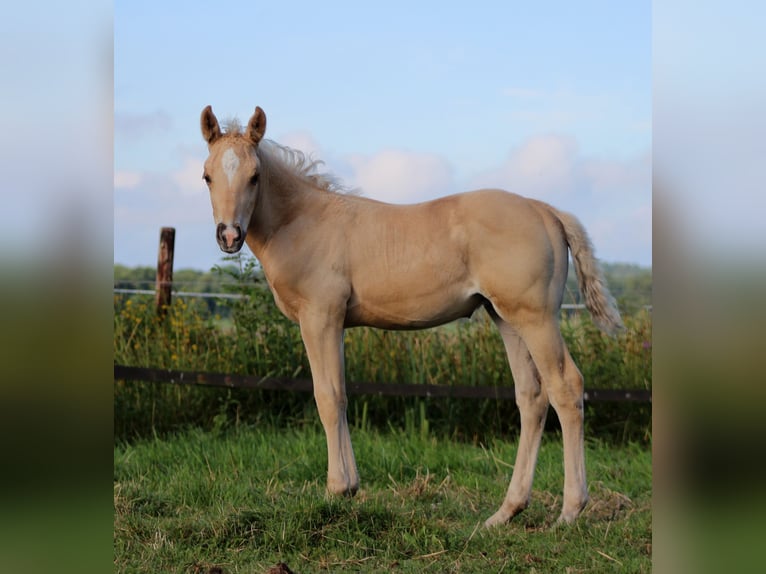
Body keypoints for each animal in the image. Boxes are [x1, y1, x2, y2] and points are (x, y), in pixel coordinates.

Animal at [199, 105, 623, 526]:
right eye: (207, 176)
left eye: (255, 176)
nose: (229, 236)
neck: (302, 221)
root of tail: (545, 210)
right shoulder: (335, 323)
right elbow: (341, 394)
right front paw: (351, 487)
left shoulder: (320, 317)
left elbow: (327, 395)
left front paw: (336, 489)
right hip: (507, 318)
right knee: (531, 396)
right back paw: (505, 513)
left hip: (536, 318)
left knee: (566, 387)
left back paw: (569, 511)